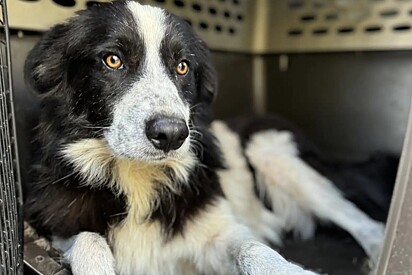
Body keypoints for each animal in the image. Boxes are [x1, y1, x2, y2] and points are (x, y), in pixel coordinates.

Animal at [24, 1, 386, 274]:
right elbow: (90, 240)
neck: (138, 178)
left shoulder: (214, 231)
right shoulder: (57, 224)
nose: (171, 135)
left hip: (271, 150)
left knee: (362, 220)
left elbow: (253, 248)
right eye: (113, 60)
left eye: (183, 67)